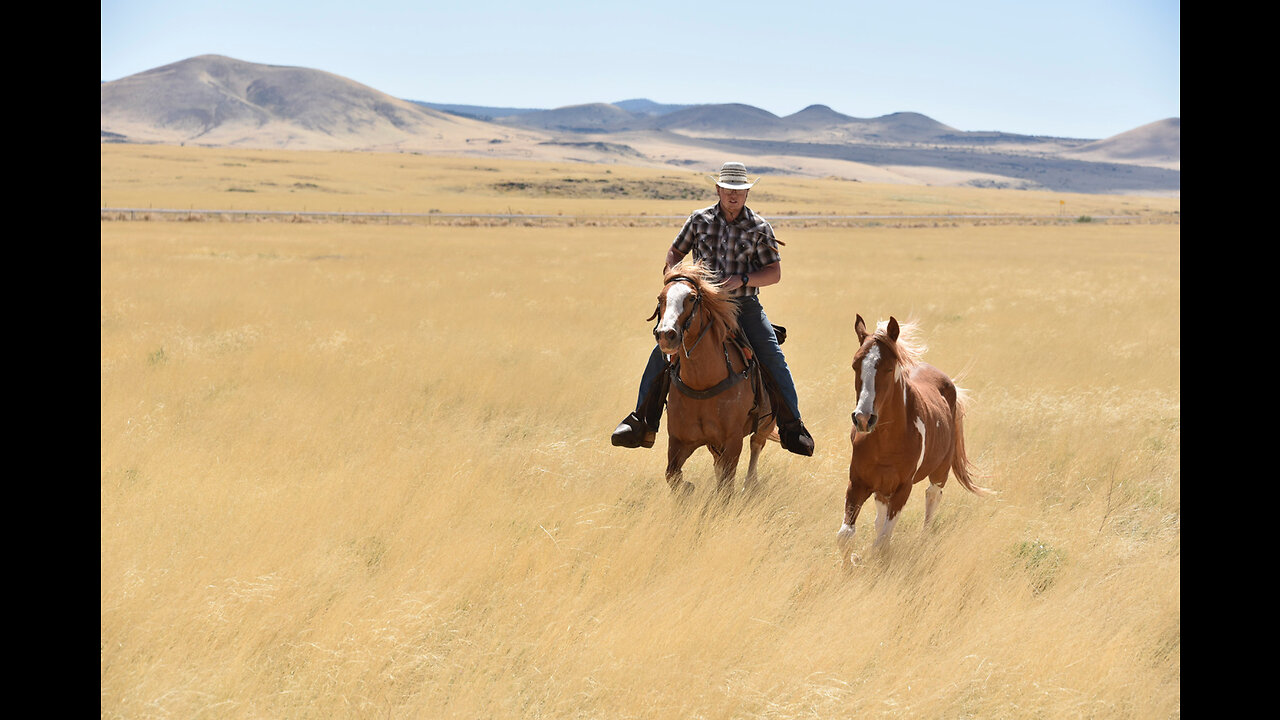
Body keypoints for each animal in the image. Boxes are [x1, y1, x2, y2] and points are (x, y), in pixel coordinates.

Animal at [650, 258, 768, 499]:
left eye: (691, 298)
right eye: (660, 298)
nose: (666, 335)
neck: (701, 383)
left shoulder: (732, 441)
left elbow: (726, 486)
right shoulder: (678, 440)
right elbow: (672, 475)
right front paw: (688, 488)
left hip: (766, 423)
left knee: (756, 445)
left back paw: (751, 485)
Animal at [834, 315, 993, 561]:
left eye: (889, 368)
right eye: (855, 365)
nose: (863, 418)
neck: (887, 441)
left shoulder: (902, 488)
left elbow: (882, 542)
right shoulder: (857, 484)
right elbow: (846, 536)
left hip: (940, 472)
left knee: (932, 496)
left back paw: (924, 538)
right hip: (882, 488)